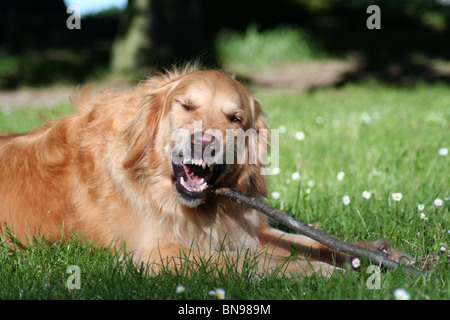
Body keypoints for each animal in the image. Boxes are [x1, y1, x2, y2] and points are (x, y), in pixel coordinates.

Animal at [0, 64, 412, 276]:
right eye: (185, 106)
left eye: (235, 118)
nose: (204, 142)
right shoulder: (158, 254)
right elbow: (255, 261)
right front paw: (321, 273)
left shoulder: (247, 229)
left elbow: (305, 241)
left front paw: (371, 252)